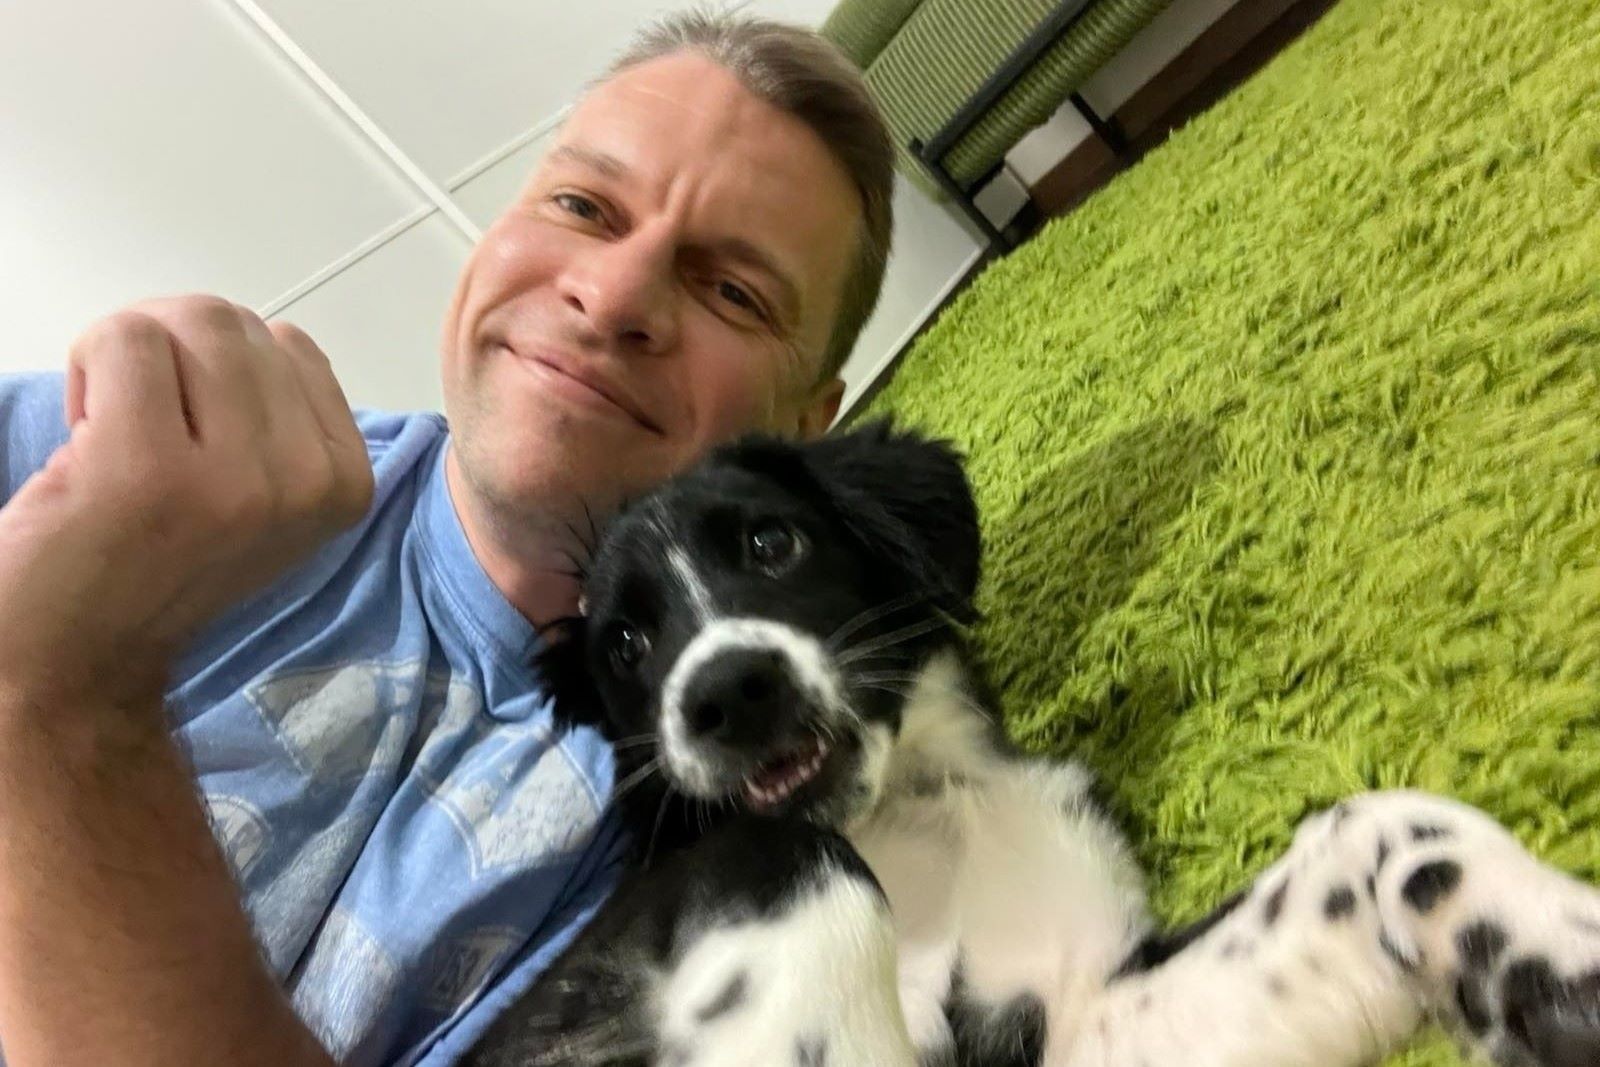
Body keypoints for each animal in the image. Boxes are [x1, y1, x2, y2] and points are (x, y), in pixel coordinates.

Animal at [465, 421, 1600, 1067]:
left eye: (771, 541)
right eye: (624, 644)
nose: (728, 694)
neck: (912, 811)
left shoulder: (1078, 1014)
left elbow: (1379, 818)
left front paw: (1550, 958)